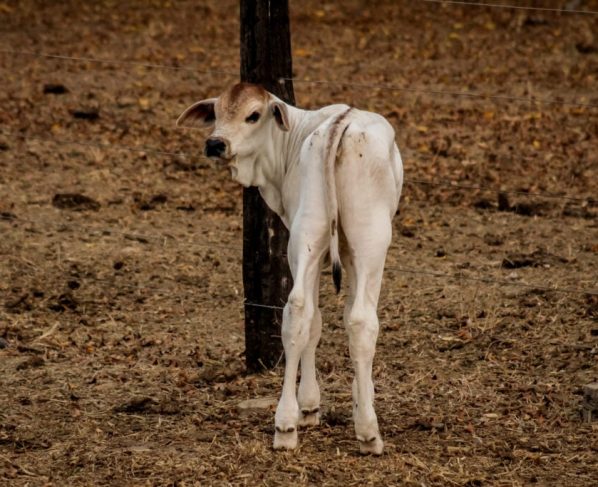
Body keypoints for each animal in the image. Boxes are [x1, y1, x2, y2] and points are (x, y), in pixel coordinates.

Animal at [177, 83, 404, 454]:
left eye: (253, 115)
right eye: (218, 112)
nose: (215, 143)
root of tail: (340, 126)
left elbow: (321, 321)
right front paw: (333, 403)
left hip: (317, 237)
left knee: (302, 310)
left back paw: (293, 424)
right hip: (361, 240)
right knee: (349, 319)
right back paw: (354, 431)